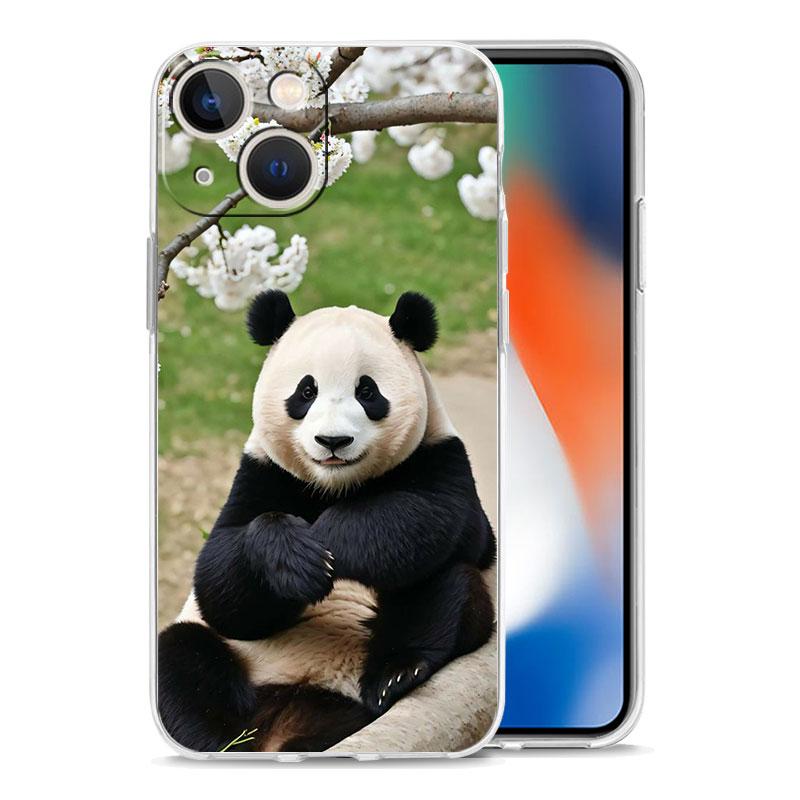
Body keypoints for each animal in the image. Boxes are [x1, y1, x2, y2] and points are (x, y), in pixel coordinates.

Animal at [157, 290, 496, 753]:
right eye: (306, 390)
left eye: (367, 391)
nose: (333, 441)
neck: (336, 486)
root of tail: (280, 727)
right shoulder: (261, 474)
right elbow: (221, 584)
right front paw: (295, 558)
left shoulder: (440, 458)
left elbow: (426, 516)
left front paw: (327, 542)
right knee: (182, 657)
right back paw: (221, 741)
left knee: (446, 587)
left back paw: (395, 675)